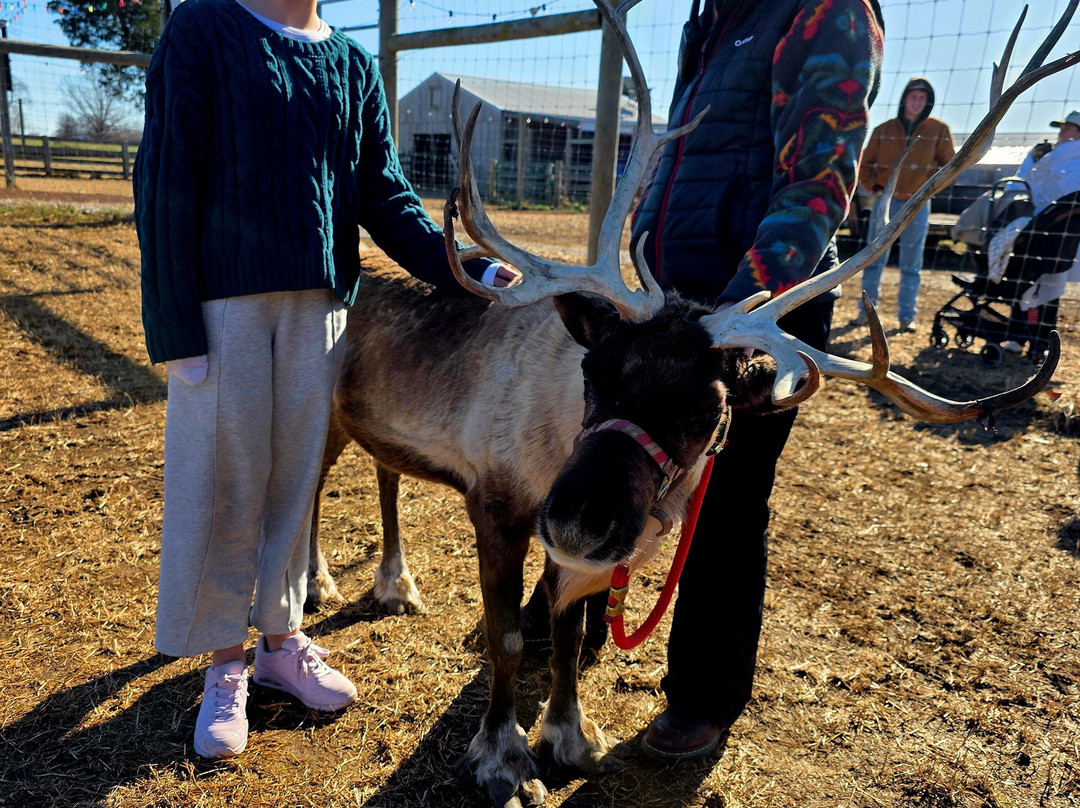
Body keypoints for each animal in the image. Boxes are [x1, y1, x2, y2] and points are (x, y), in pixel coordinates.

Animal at [307, 1, 1073, 805]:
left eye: (712, 407)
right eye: (596, 371)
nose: (579, 518)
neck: (561, 444)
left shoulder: (585, 552)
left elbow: (570, 638)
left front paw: (569, 738)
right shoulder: (500, 507)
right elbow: (510, 636)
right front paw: (503, 759)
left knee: (386, 474)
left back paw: (395, 582)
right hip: (323, 414)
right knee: (308, 490)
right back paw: (319, 581)